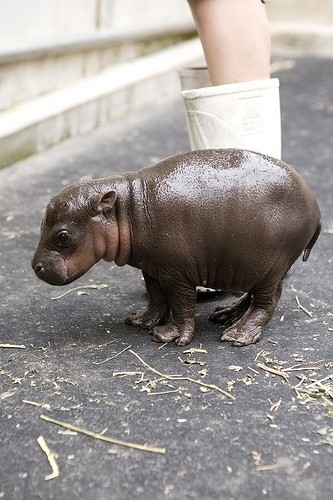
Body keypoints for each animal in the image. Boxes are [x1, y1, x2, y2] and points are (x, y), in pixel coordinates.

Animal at [31, 148, 320, 348]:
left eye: (63, 236)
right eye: (41, 223)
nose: (36, 266)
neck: (128, 208)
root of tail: (315, 207)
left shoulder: (176, 272)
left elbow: (181, 302)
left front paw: (169, 335)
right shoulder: (152, 267)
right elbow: (156, 296)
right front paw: (140, 320)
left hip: (270, 265)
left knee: (266, 301)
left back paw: (237, 335)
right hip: (252, 265)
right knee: (252, 294)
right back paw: (225, 315)